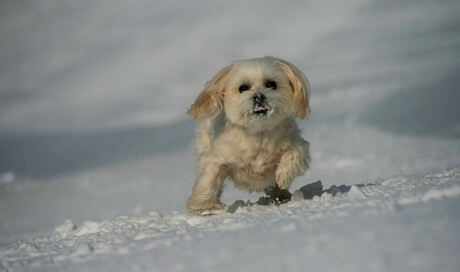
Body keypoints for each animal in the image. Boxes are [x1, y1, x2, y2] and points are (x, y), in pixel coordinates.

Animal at [185, 56, 310, 214]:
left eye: (271, 84)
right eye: (243, 88)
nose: (259, 96)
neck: (258, 132)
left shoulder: (297, 142)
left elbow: (295, 153)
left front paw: (283, 176)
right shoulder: (218, 157)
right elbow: (209, 178)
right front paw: (201, 205)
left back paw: (281, 194)